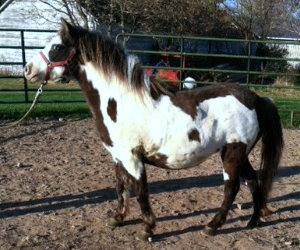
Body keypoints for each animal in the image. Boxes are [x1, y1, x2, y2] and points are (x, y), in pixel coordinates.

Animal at [24, 19, 284, 240]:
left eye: (57, 46)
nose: (28, 70)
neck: (120, 102)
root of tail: (256, 99)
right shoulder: (118, 157)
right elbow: (121, 187)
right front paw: (118, 218)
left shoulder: (132, 157)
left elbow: (140, 191)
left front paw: (147, 228)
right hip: (241, 154)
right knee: (253, 181)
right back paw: (253, 221)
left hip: (232, 153)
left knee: (232, 188)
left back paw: (212, 226)